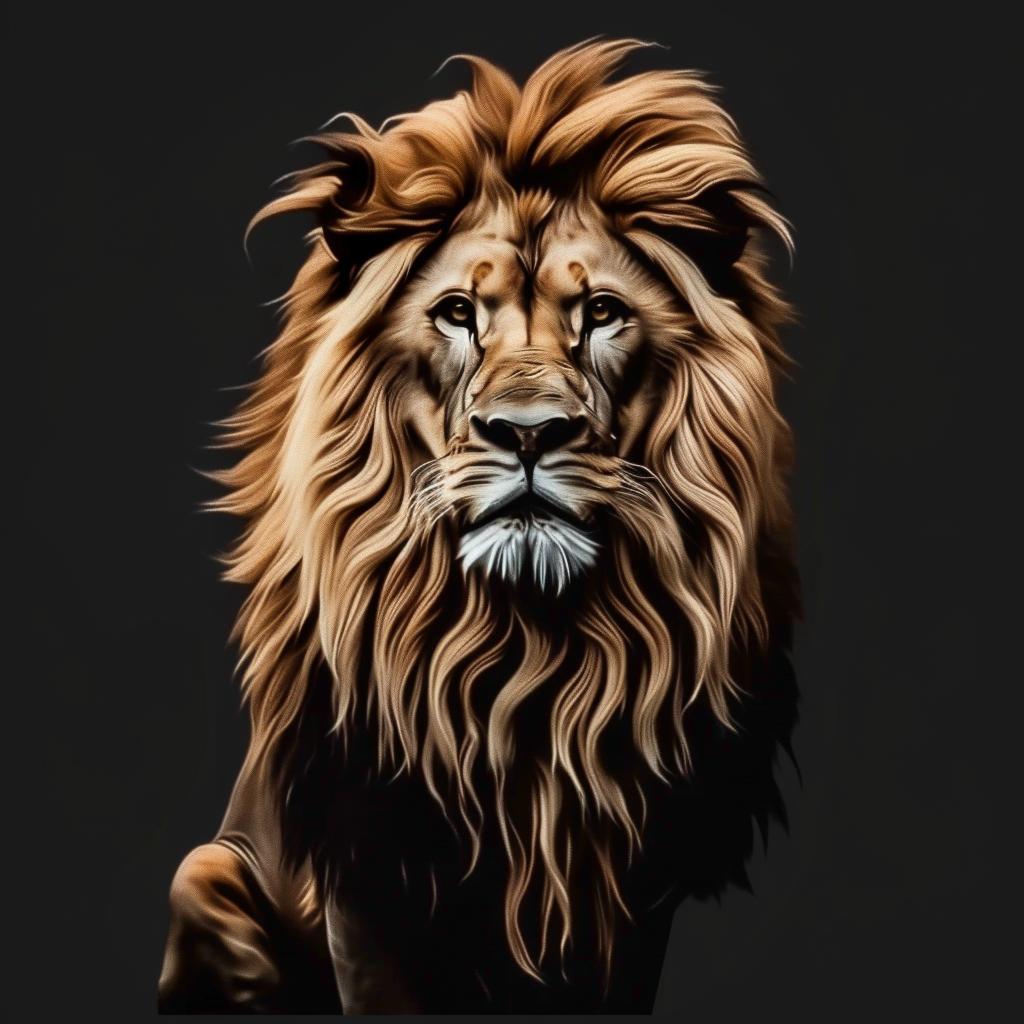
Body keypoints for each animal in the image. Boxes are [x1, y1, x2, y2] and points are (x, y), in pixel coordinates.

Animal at [158, 38, 800, 1014]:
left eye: (601, 312)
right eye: (458, 312)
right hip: (204, 873)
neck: (530, 646)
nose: (527, 433)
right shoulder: (368, 875)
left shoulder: (632, 894)